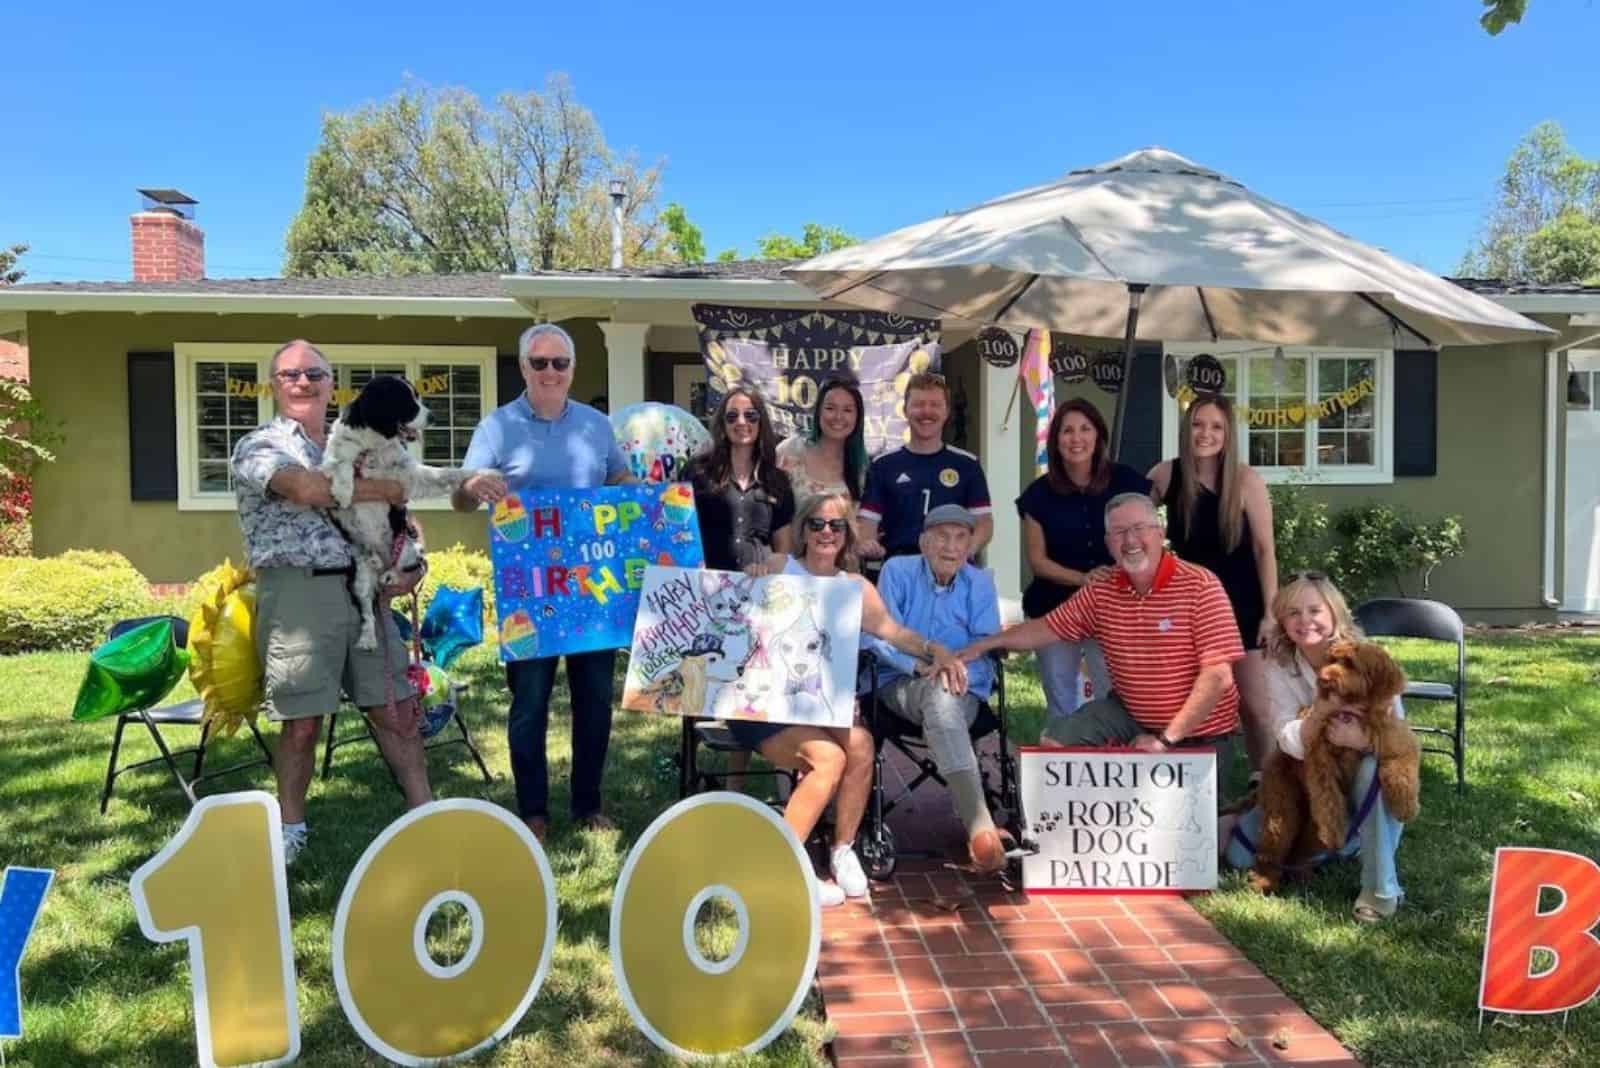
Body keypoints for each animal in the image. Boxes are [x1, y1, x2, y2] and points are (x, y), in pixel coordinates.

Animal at [318, 370, 480, 645]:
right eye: (406, 400)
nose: (433, 417)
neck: (373, 443)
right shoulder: (327, 463)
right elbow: (342, 464)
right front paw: (343, 491)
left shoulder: (408, 476)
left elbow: (445, 473)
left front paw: (481, 474)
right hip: (361, 574)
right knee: (367, 610)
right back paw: (368, 639)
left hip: (410, 548)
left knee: (405, 567)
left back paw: (390, 575)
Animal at [1248, 633, 1427, 895]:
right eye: (1331, 659)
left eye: (1350, 663)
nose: (1323, 679)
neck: (1350, 711)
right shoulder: (1320, 761)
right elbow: (1328, 800)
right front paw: (1335, 835)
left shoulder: (1397, 739)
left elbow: (1402, 770)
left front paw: (1405, 806)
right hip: (1282, 806)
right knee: (1274, 844)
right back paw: (1263, 879)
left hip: (1310, 825)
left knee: (1301, 849)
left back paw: (1302, 876)